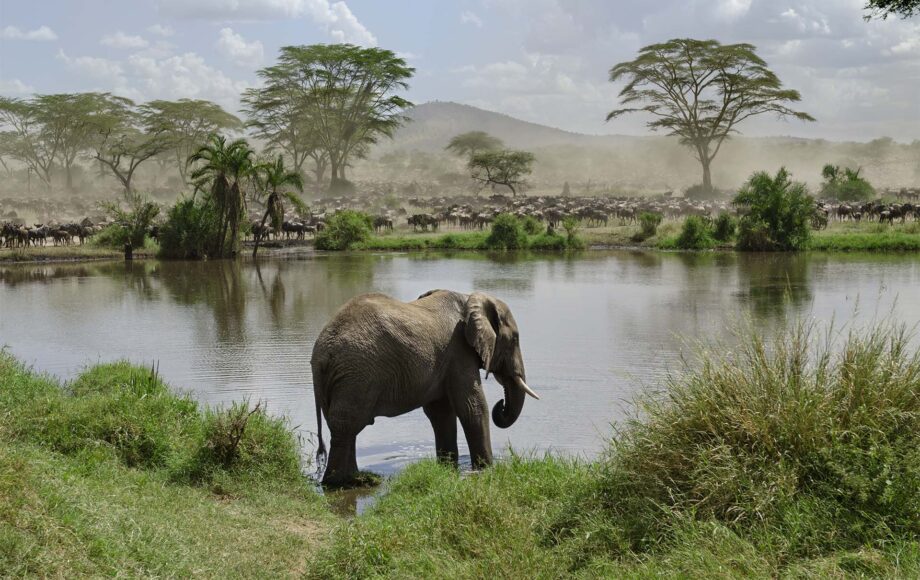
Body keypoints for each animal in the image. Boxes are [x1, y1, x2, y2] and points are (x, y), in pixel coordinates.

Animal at [311, 289, 539, 486]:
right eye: (515, 339)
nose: (501, 405)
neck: (469, 298)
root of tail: (321, 353)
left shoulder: (445, 358)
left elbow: (441, 412)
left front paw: (447, 468)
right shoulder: (458, 350)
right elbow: (472, 407)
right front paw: (486, 469)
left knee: (344, 427)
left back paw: (354, 479)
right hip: (357, 373)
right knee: (346, 424)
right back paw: (340, 483)